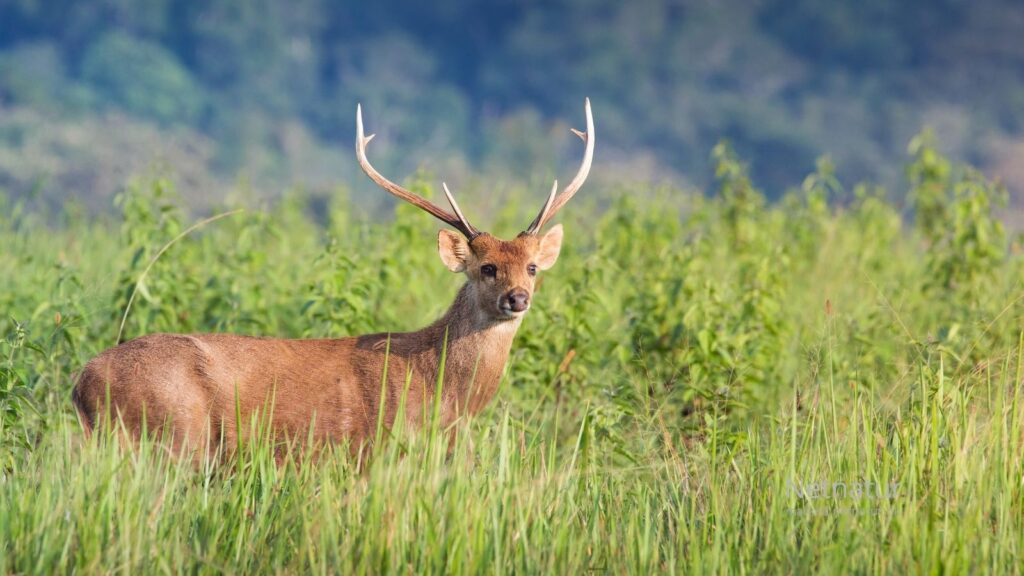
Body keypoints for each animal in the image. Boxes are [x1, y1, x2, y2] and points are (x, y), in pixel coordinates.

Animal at [72, 98, 594, 462]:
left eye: (531, 266)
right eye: (486, 267)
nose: (517, 297)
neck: (441, 393)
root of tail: (81, 384)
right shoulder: (368, 451)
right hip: (174, 433)